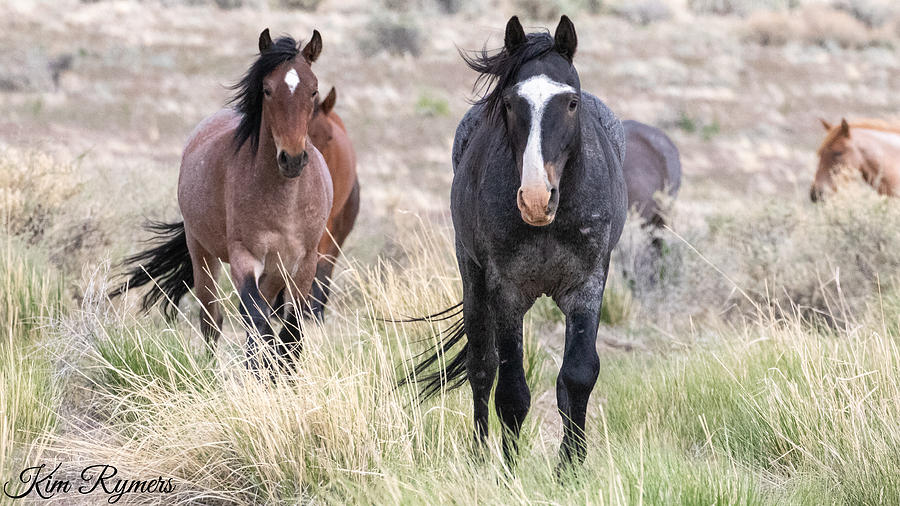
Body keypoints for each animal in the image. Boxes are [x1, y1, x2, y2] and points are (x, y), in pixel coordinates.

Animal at [112, 29, 334, 374]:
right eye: (267, 89)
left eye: (313, 90)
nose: (293, 159)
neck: (285, 201)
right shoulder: (244, 258)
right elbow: (256, 321)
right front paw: (263, 374)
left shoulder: (304, 261)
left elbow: (291, 332)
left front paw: (281, 375)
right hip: (203, 254)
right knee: (212, 320)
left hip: (273, 272)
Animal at [406, 13, 624, 468]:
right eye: (510, 103)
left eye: (570, 102)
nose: (537, 199)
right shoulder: (506, 291)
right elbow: (509, 389)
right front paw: (508, 469)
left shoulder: (588, 285)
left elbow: (577, 376)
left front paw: (571, 466)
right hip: (472, 279)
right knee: (481, 367)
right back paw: (478, 454)